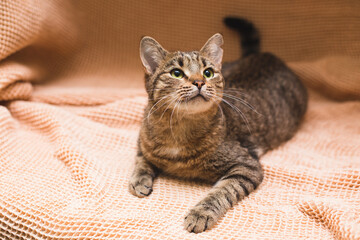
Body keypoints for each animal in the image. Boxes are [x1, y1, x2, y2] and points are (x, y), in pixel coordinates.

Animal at [129, 16, 306, 232]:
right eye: (177, 73)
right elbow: (141, 158)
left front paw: (200, 213)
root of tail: (264, 55)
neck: (179, 130)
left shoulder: (247, 166)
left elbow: (221, 192)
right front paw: (139, 179)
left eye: (208, 72)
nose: (199, 82)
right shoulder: (142, 140)